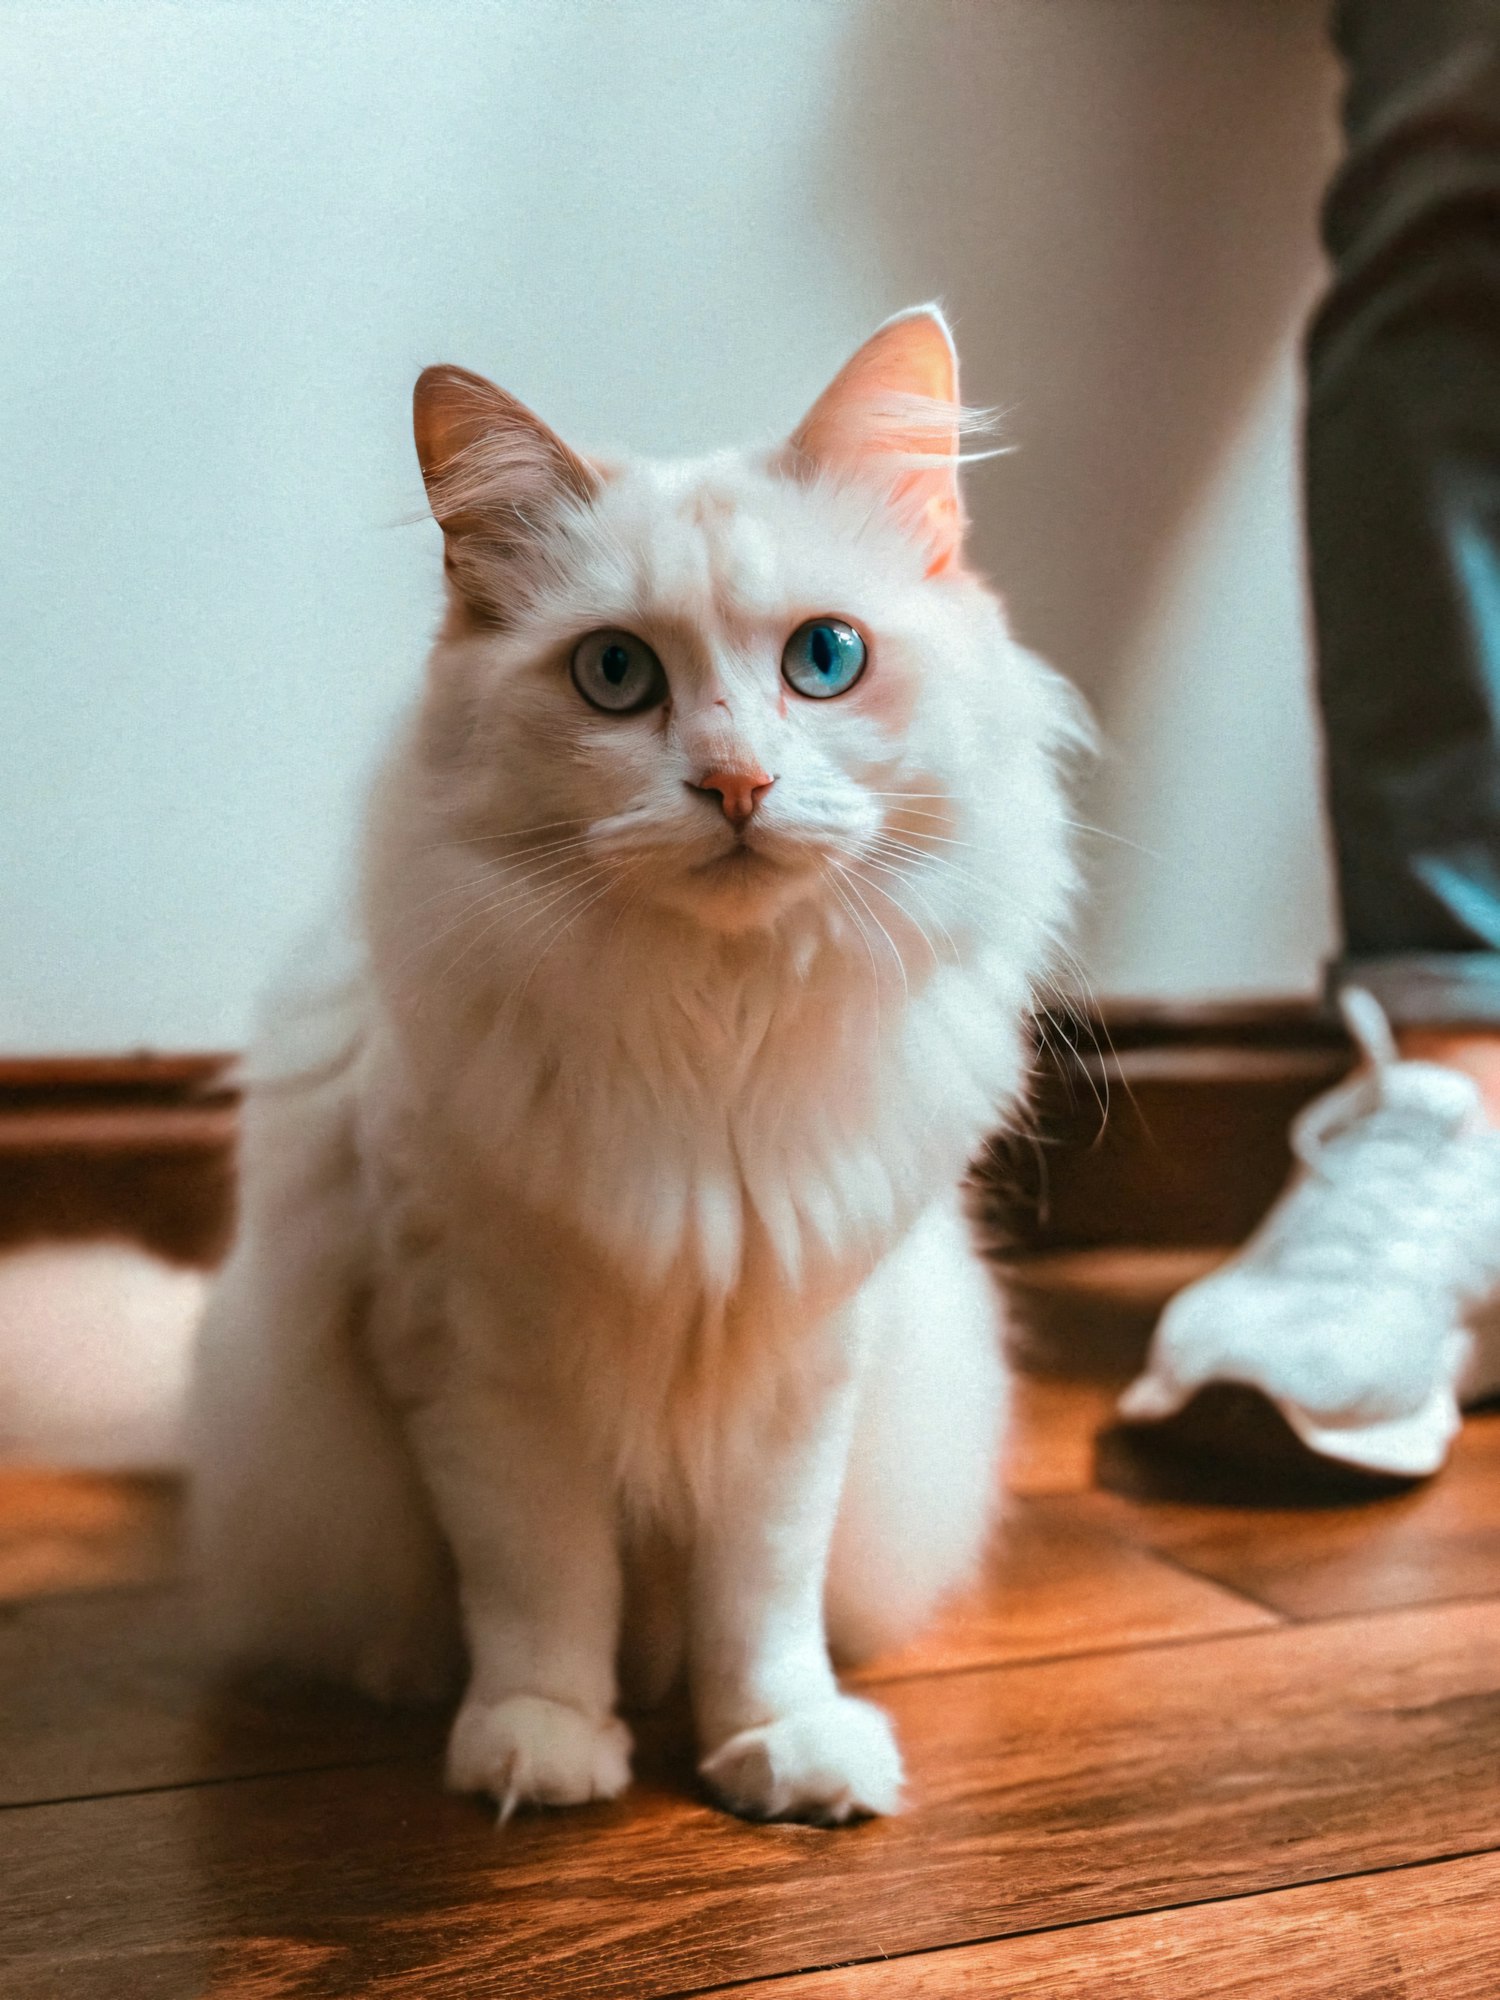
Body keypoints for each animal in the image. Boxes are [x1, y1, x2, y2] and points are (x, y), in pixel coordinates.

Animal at [194, 304, 1088, 1824]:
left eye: (825, 660)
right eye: (615, 677)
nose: (735, 785)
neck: (711, 1029)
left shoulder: (802, 1359)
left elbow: (763, 1594)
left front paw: (777, 1745)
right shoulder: (478, 1352)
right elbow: (541, 1579)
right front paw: (541, 1746)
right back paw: (410, 1677)